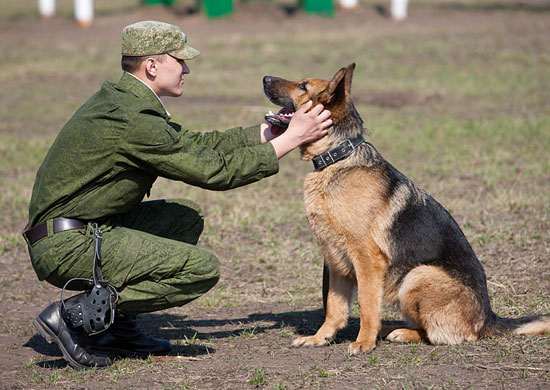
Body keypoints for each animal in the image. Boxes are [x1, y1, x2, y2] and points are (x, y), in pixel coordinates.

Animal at [264, 63, 550, 354]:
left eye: (303, 86)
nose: (264, 78)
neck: (337, 157)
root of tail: (488, 318)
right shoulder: (335, 260)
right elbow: (334, 307)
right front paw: (320, 338)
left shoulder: (366, 259)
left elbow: (367, 304)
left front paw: (364, 342)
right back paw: (389, 329)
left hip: (417, 276)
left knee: (444, 335)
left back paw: (397, 332)